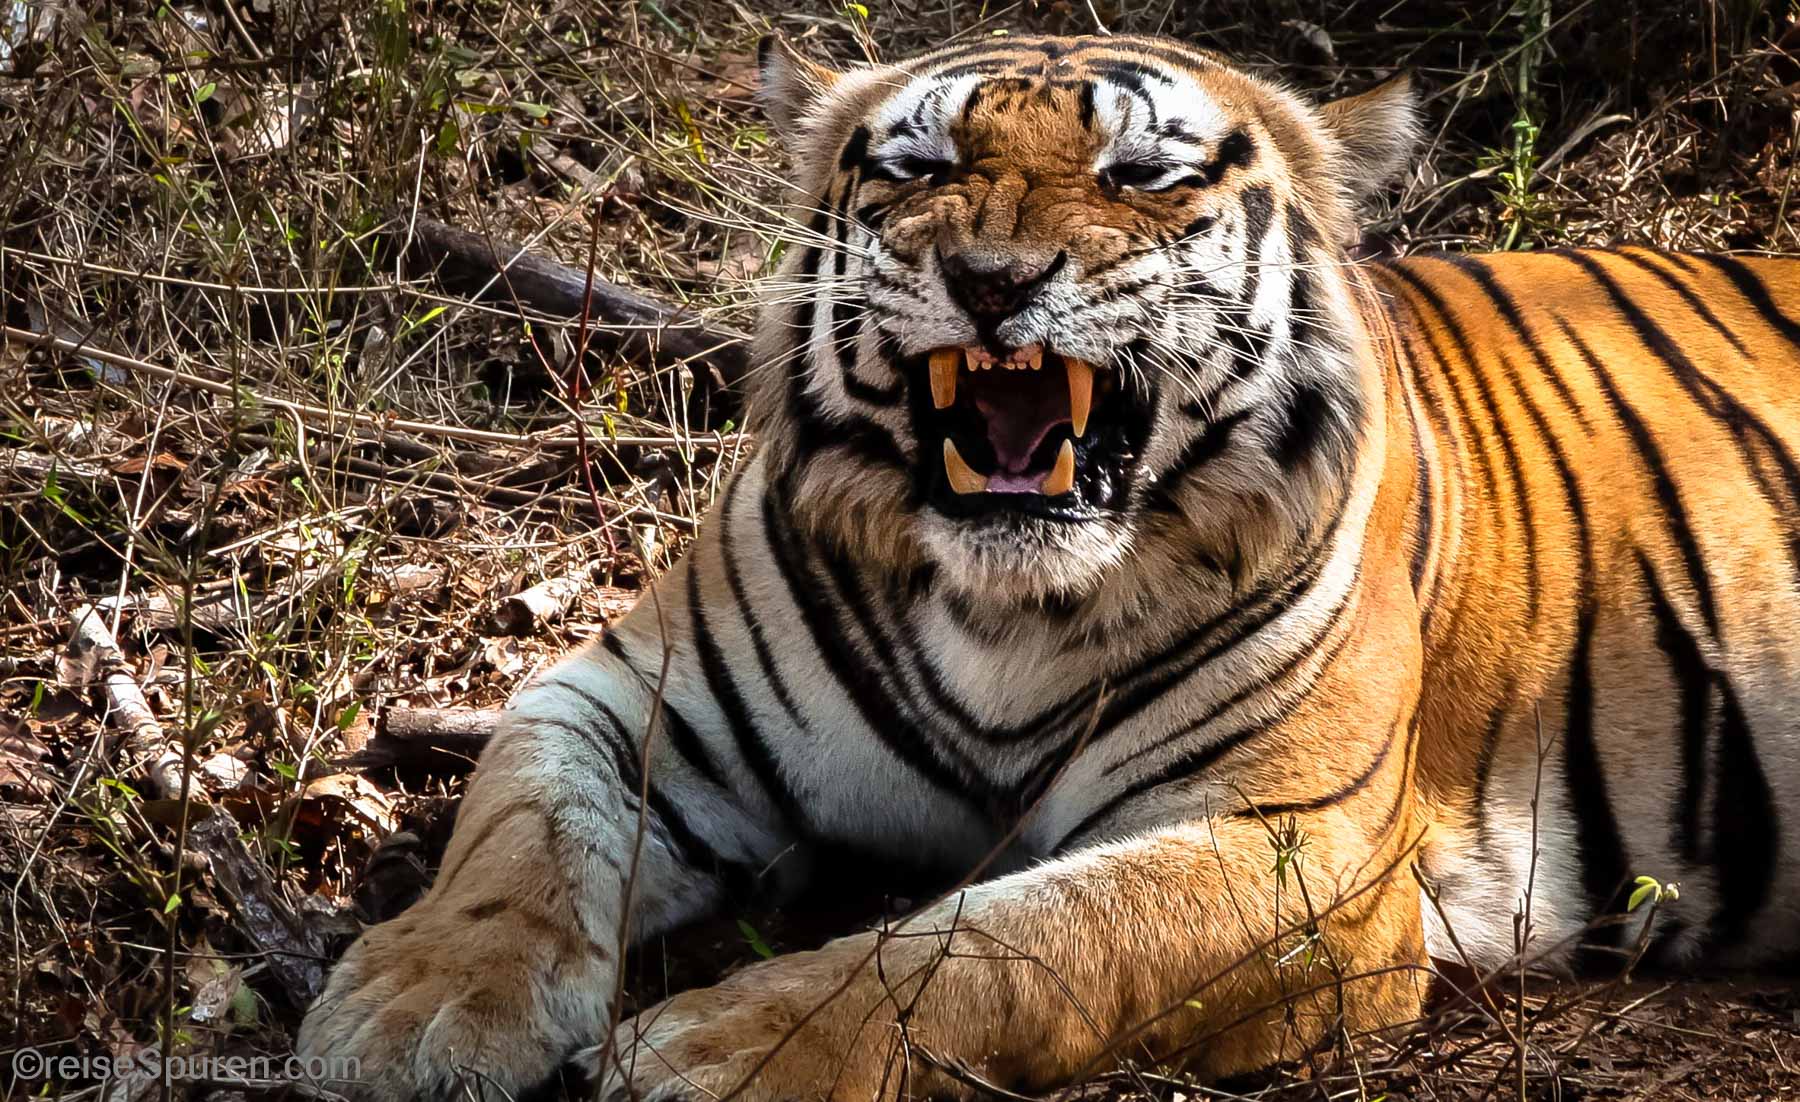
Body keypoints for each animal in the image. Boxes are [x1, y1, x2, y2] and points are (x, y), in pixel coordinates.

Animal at [296, 32, 1800, 1102]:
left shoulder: (1291, 842)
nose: (992, 278)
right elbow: (520, 828)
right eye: (917, 168)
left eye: (1143, 176)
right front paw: (414, 1011)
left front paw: (712, 1054)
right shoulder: (624, 695)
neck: (1005, 606)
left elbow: (1004, 946)